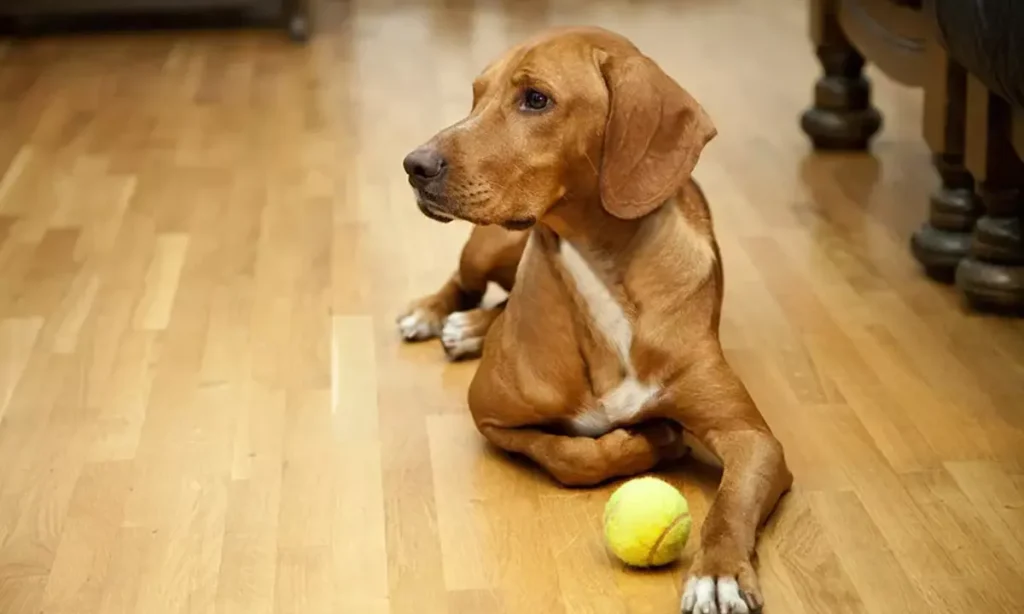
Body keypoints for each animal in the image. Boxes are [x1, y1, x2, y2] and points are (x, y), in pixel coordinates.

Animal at [395, 25, 786, 614]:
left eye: (536, 99)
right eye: (476, 95)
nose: (413, 166)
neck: (599, 270)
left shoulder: (753, 438)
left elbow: (732, 502)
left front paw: (718, 573)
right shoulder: (487, 413)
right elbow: (568, 453)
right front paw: (648, 442)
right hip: (486, 246)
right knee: (465, 284)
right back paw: (439, 316)